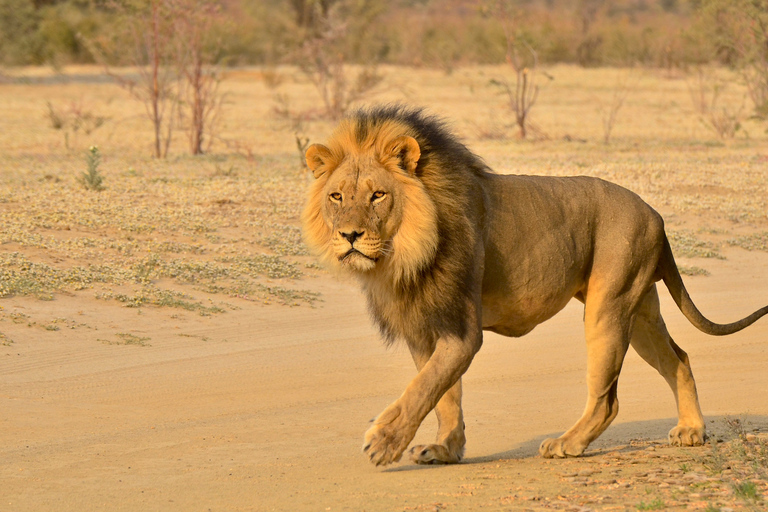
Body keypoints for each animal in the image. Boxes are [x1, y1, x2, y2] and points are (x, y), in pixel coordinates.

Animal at [300, 106, 768, 466]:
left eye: (378, 195)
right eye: (337, 197)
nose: (349, 236)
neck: (405, 252)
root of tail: (655, 214)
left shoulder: (462, 332)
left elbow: (422, 389)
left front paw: (383, 442)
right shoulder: (424, 328)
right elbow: (444, 393)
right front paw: (446, 449)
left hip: (609, 306)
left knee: (608, 397)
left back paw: (567, 443)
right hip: (641, 311)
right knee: (679, 358)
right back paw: (692, 430)